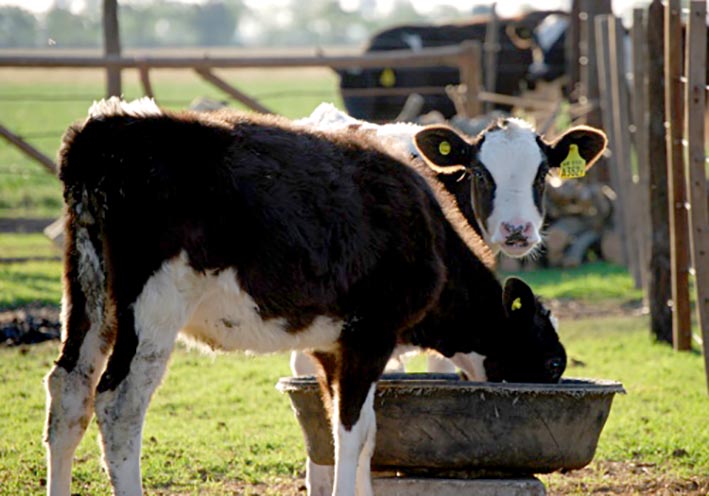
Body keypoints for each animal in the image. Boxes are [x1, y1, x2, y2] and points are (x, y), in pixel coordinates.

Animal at [42, 98, 596, 496]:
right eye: (553, 365)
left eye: (542, 174)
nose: (519, 232)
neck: (427, 230)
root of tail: (107, 132)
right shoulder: (370, 336)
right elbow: (349, 435)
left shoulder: (334, 348)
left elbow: (362, 435)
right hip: (152, 307)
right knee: (118, 404)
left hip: (88, 296)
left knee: (69, 391)